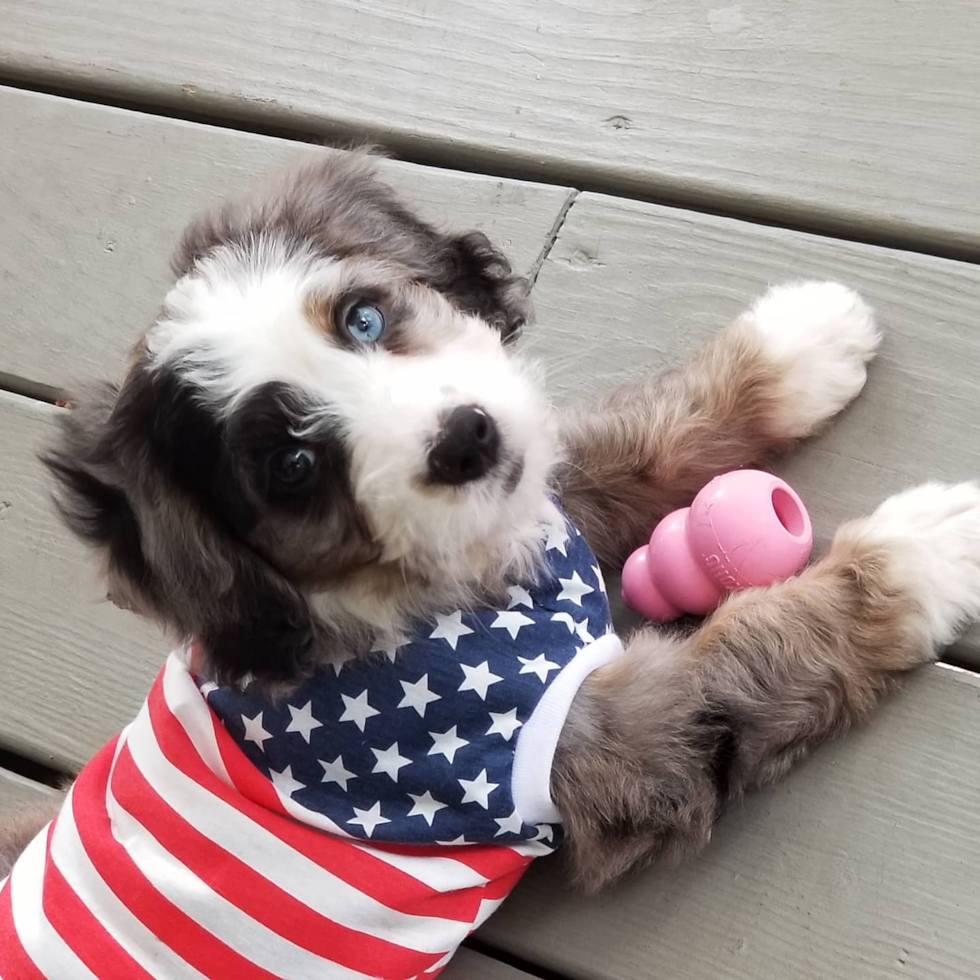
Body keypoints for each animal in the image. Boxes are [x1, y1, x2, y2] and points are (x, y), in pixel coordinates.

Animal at [1, 155, 980, 980]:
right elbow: (756, 644)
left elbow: (636, 440)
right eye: (292, 467)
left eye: (363, 317)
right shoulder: (602, 744)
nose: (465, 439)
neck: (402, 594)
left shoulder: (535, 496)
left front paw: (795, 347)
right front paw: (922, 549)